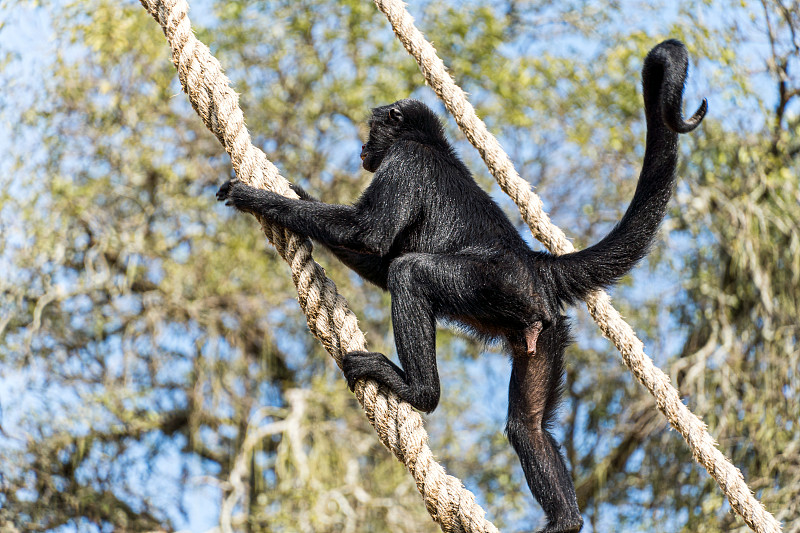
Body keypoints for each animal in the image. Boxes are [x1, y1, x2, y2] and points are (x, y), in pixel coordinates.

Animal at [217, 39, 708, 528]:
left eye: (372, 130)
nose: (362, 147)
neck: (427, 143)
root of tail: (534, 265)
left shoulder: (405, 163)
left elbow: (369, 238)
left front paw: (255, 197)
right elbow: (374, 258)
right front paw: (293, 191)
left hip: (493, 285)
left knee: (409, 272)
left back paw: (418, 392)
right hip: (543, 332)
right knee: (527, 427)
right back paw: (564, 518)